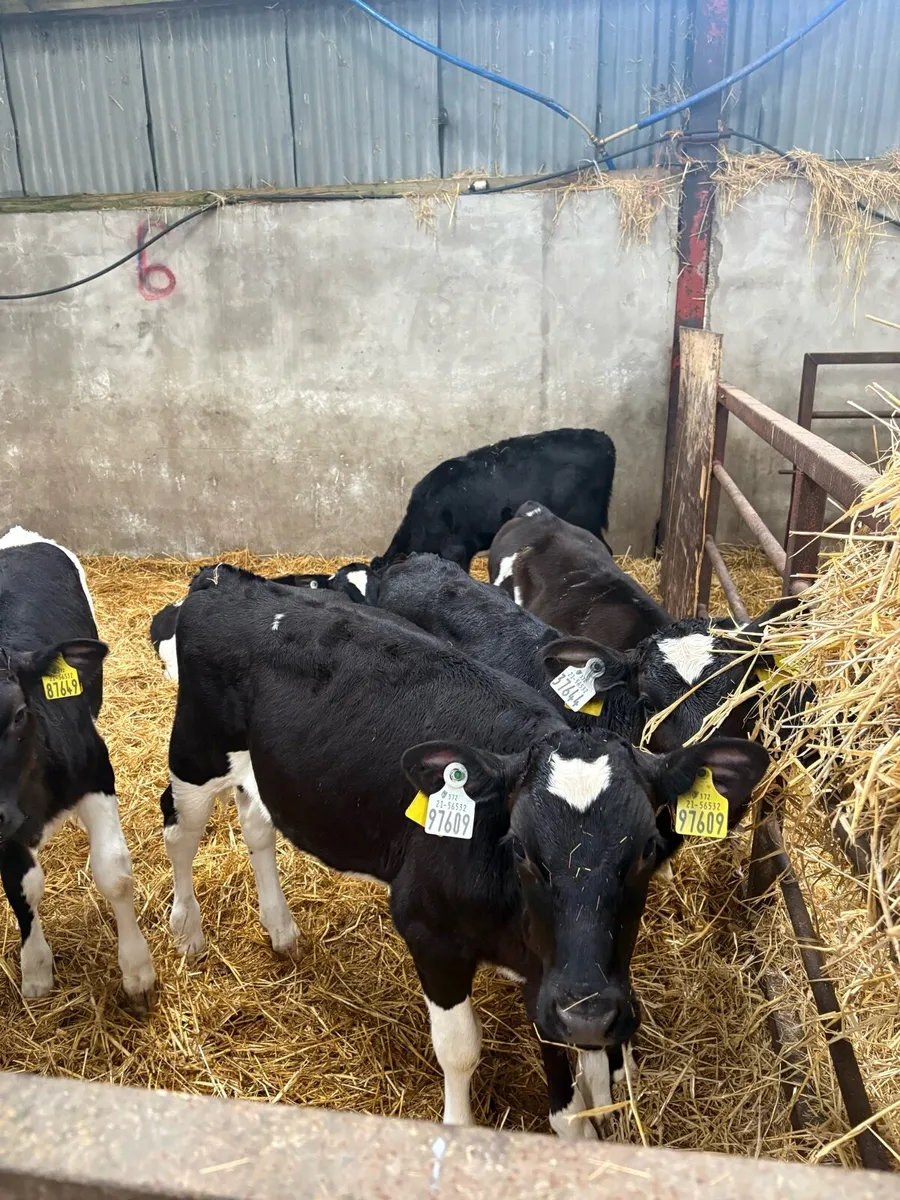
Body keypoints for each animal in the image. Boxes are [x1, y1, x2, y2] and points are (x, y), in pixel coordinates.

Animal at [0, 527, 156, 1010]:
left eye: (18, 714)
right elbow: (21, 887)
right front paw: (35, 969)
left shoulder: (96, 773)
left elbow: (114, 871)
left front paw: (138, 971)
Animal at [160, 562, 767, 1136]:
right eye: (520, 848)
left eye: (643, 851)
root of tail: (225, 581)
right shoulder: (430, 931)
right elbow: (460, 1049)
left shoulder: (564, 970)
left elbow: (573, 1080)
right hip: (196, 751)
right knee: (178, 830)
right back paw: (187, 931)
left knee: (257, 824)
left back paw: (281, 929)